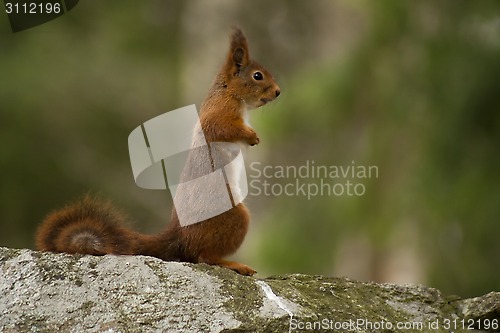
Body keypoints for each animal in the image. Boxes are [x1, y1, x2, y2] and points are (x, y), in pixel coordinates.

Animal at [36, 27, 282, 274]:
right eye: (257, 76)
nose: (278, 92)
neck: (229, 92)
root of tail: (179, 236)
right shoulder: (219, 112)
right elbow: (221, 128)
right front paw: (252, 135)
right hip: (233, 216)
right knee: (203, 256)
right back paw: (232, 263)